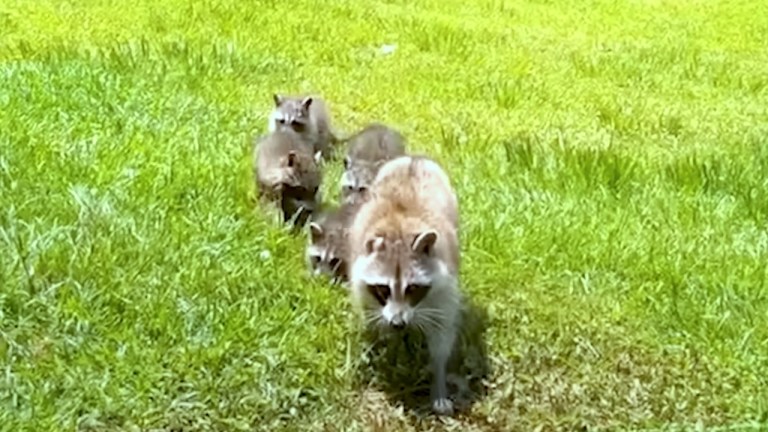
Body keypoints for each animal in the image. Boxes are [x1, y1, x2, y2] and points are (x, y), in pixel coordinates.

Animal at [348, 155, 462, 416]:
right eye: (383, 289)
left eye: (412, 288)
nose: (398, 323)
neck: (398, 230)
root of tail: (414, 157)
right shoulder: (364, 285)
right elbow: (377, 322)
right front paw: (391, 354)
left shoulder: (444, 288)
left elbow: (441, 338)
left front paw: (438, 381)